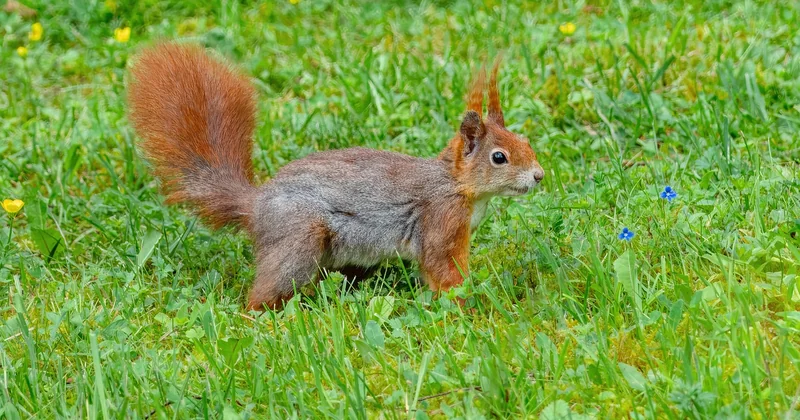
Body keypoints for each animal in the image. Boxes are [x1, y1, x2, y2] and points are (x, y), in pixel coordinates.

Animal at [127, 43, 545, 311]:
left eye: (526, 140)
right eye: (499, 157)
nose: (539, 176)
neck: (457, 185)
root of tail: (255, 206)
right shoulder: (441, 220)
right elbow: (442, 268)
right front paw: (468, 306)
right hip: (298, 238)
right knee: (264, 293)